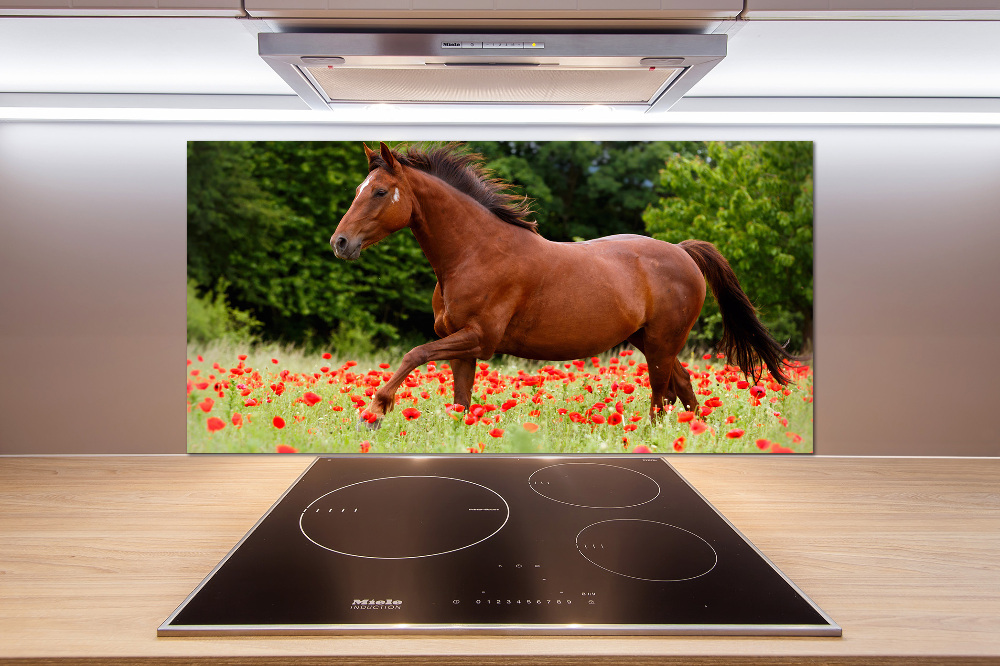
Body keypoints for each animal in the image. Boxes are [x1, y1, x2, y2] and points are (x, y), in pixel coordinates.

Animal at [332, 143, 792, 428]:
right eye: (359, 189)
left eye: (379, 192)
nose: (340, 242)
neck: (474, 252)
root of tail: (683, 252)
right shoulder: (462, 346)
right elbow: (461, 402)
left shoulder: (479, 338)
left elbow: (414, 354)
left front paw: (374, 411)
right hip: (651, 341)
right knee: (682, 385)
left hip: (662, 343)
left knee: (661, 395)